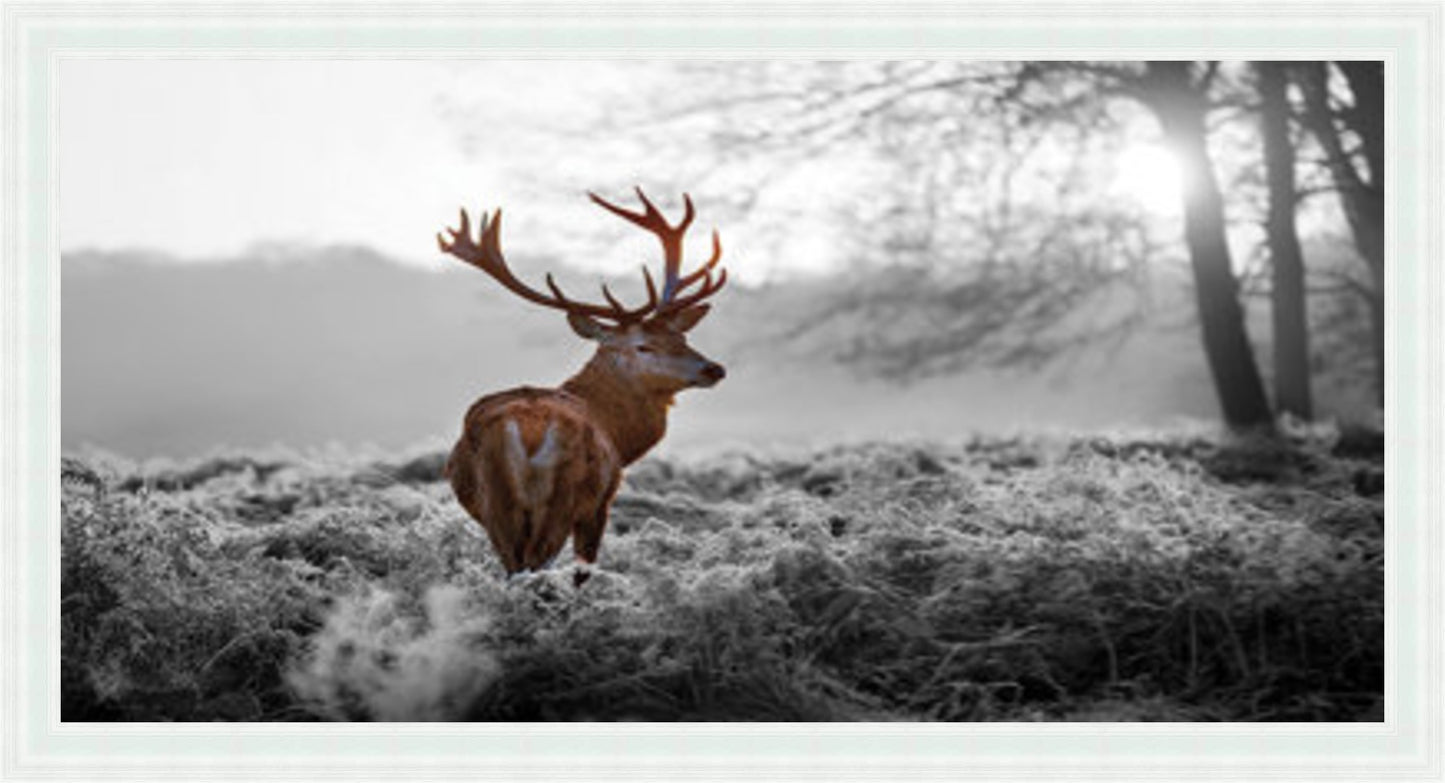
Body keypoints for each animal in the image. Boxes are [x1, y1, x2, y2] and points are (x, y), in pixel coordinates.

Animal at [437, 189, 727, 587]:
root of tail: (527, 432)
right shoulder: (601, 502)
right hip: (560, 501)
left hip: (498, 507)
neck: (619, 436)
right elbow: (583, 571)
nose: (714, 368)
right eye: (643, 346)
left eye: (682, 337)